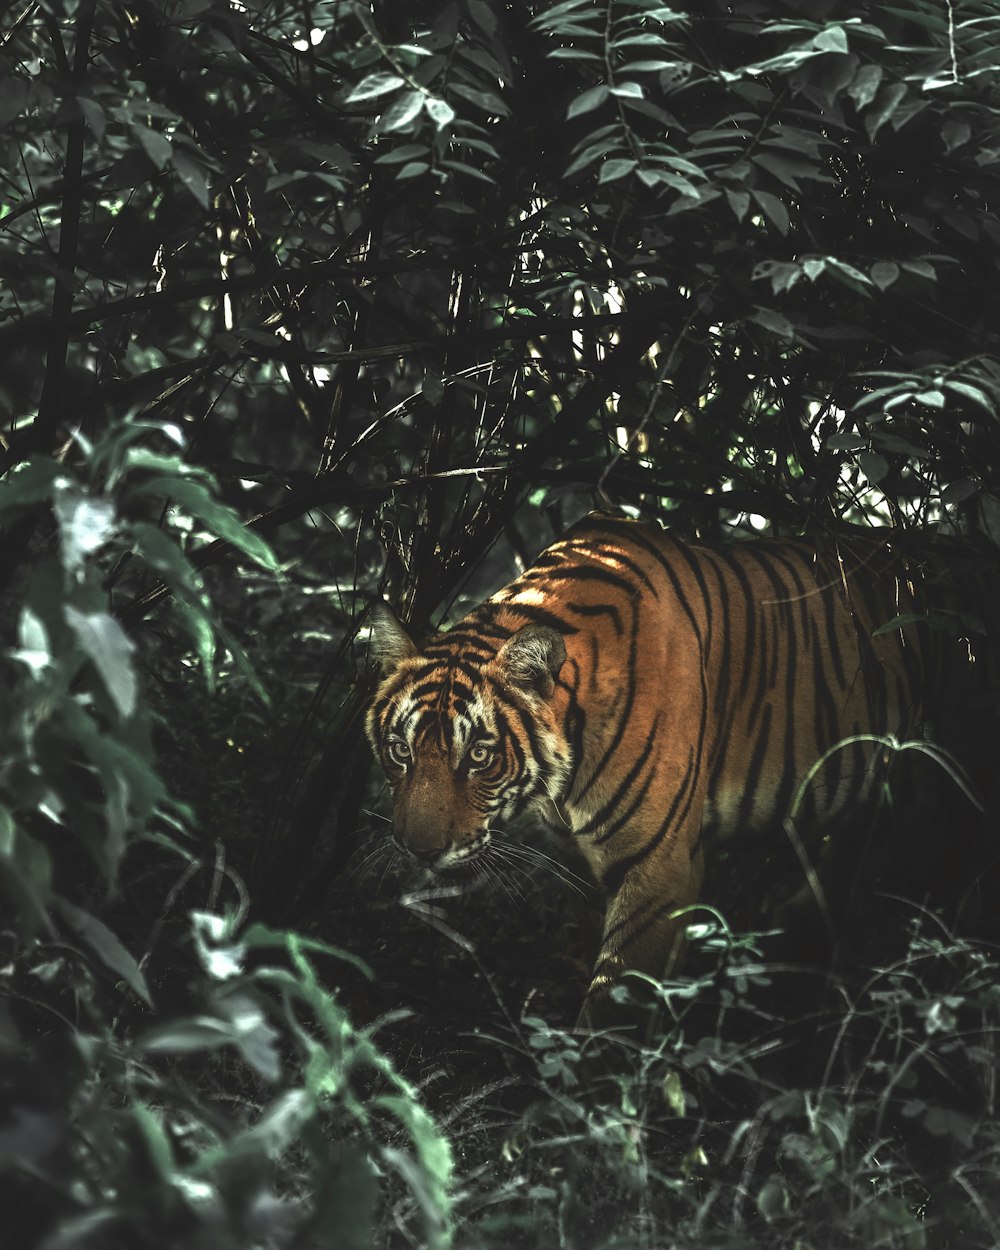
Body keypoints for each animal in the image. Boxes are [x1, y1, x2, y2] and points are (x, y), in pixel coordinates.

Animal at [367, 507, 990, 1025]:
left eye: (479, 755)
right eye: (400, 750)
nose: (419, 850)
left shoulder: (657, 867)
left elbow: (614, 1007)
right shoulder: (580, 862)